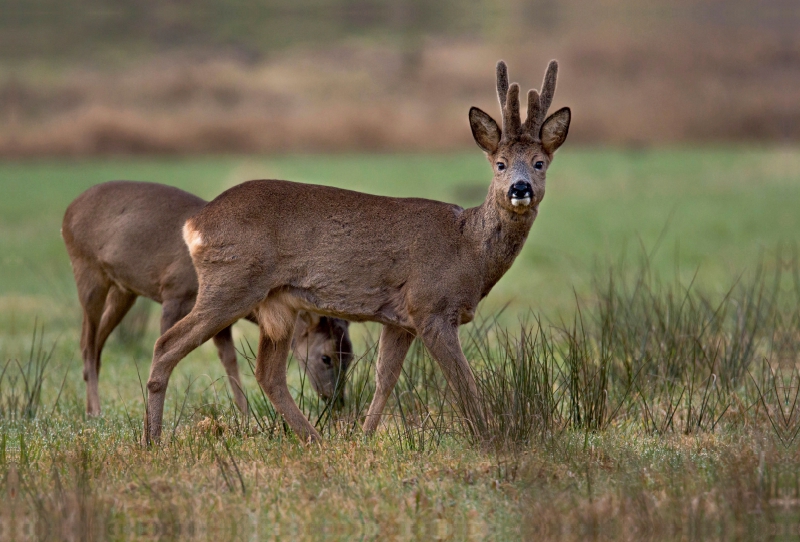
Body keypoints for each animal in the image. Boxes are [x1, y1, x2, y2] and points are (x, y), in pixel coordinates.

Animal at [62, 183, 350, 416]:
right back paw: (96, 410)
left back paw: (90, 407)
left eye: (349, 356)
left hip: (124, 290)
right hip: (86, 270)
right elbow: (166, 348)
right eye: (326, 357)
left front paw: (245, 415)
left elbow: (230, 360)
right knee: (87, 342)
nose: (336, 401)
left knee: (94, 343)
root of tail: (68, 211)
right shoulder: (174, 294)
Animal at [144, 59, 568, 444]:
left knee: (268, 373)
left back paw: (315, 439)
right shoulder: (430, 306)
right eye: (500, 164)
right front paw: (489, 438)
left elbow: (385, 378)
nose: (519, 189)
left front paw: (364, 436)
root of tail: (194, 223)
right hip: (231, 281)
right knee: (166, 345)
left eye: (539, 163)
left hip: (276, 304)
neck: (469, 250)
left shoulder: (401, 318)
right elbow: (463, 380)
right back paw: (153, 440)